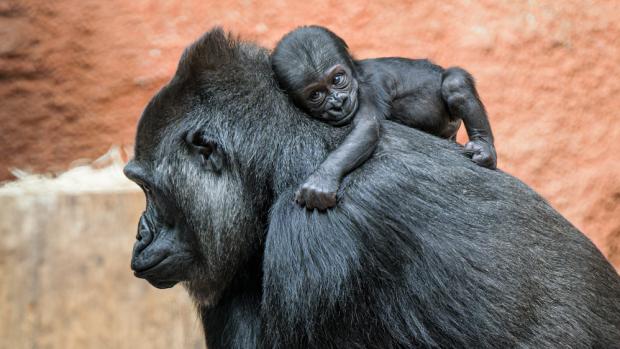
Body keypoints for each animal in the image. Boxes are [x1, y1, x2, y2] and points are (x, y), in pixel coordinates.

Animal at [274, 25, 496, 209]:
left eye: (337, 79)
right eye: (315, 95)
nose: (338, 102)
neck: (355, 74)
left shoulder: (366, 90)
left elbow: (366, 127)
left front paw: (322, 178)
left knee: (455, 84)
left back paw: (483, 146)